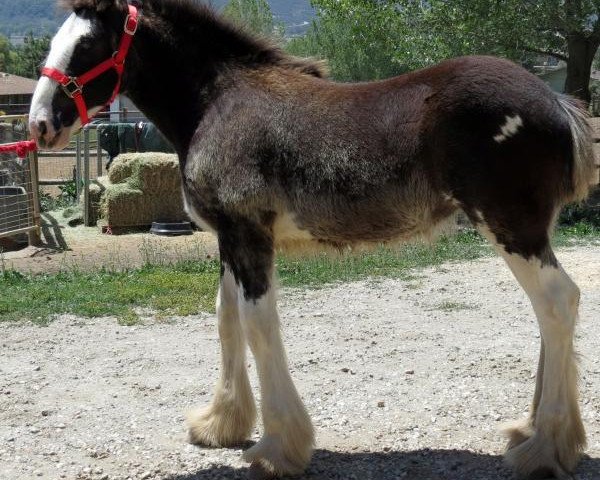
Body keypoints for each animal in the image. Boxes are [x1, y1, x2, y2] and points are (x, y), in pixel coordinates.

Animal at [29, 1, 600, 478]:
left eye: (87, 44)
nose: (39, 126)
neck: (219, 103)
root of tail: (556, 103)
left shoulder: (249, 236)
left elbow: (258, 326)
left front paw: (277, 448)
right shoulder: (230, 240)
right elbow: (226, 320)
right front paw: (221, 424)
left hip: (511, 227)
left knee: (558, 301)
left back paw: (544, 448)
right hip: (532, 230)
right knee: (548, 313)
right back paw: (536, 432)